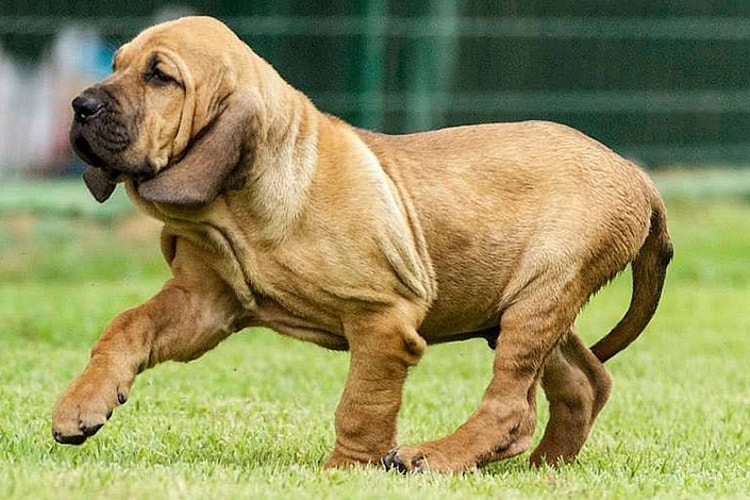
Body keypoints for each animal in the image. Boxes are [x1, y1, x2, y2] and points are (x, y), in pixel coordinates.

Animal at [53, 13, 676, 470]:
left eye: (160, 76)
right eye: (116, 65)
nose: (80, 105)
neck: (238, 207)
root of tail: (637, 174)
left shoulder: (384, 320)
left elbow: (362, 405)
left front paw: (344, 471)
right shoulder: (205, 303)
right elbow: (127, 325)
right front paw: (82, 405)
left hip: (540, 294)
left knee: (511, 405)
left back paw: (434, 458)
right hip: (521, 308)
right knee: (584, 384)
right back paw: (543, 469)